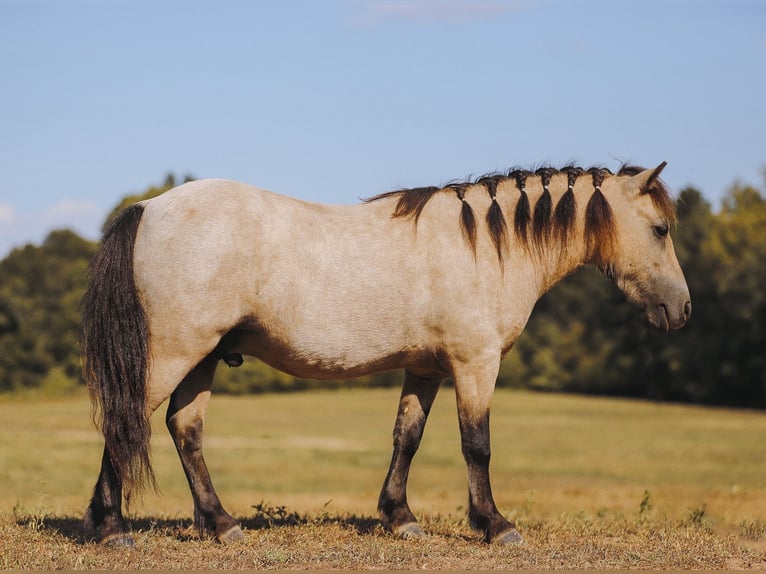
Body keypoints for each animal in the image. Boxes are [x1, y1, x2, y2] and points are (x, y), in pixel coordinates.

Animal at [81, 162, 692, 548]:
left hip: (202, 358)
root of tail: (148, 208)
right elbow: (477, 446)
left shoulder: (425, 369)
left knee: (184, 430)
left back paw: (220, 522)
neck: (484, 246)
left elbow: (407, 438)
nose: (682, 309)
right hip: (173, 354)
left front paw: (400, 517)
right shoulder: (475, 364)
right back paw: (112, 529)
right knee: (127, 422)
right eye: (660, 229)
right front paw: (494, 524)